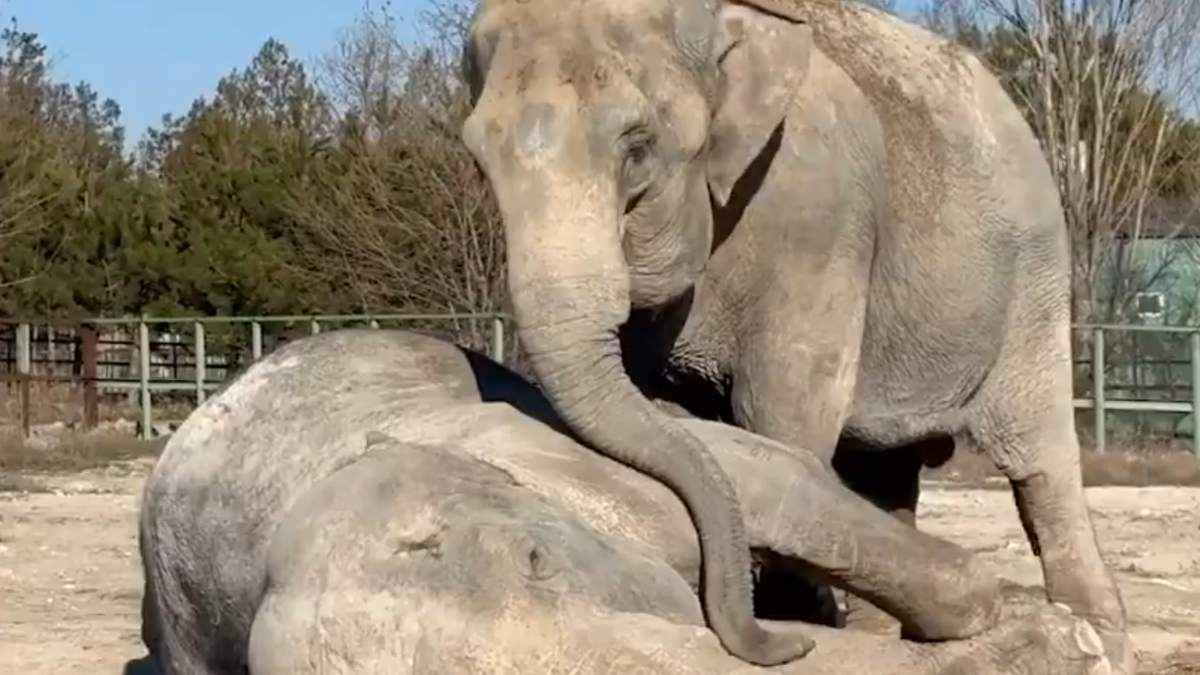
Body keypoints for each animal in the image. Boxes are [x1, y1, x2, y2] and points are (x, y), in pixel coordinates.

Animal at [138, 329, 1108, 674]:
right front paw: (1056, 643)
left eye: (537, 560)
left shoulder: (541, 451)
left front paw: (1046, 627)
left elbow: (766, 477)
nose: (786, 644)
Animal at [460, 0, 1131, 669]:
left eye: (639, 148)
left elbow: (779, 409)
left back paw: (1097, 637)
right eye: (479, 160)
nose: (784, 643)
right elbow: (662, 403)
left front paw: (798, 619)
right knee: (882, 470)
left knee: (1041, 459)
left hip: (1034, 283)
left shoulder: (819, 214)